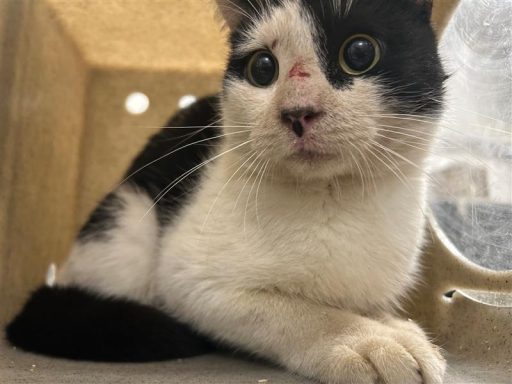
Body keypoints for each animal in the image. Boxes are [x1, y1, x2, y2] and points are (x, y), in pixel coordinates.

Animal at [7, 0, 448, 384]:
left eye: (359, 52)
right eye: (263, 68)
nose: (298, 111)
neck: (334, 198)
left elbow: (370, 305)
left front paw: (393, 326)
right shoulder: (192, 280)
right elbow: (297, 312)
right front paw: (365, 340)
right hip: (126, 228)